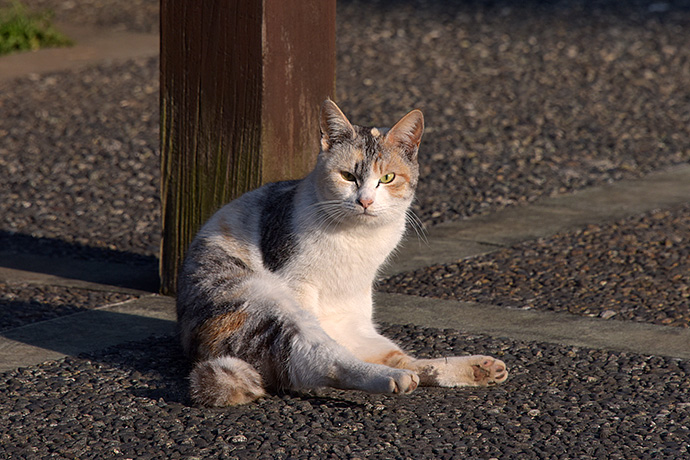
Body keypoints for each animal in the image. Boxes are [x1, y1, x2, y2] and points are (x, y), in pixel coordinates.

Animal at [175, 99, 502, 406]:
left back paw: (477, 369)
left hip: (359, 329)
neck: (356, 236)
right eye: (347, 176)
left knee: (406, 362)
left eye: (387, 178)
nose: (365, 201)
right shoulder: (297, 284)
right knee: (325, 361)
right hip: (267, 307)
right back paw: (391, 378)